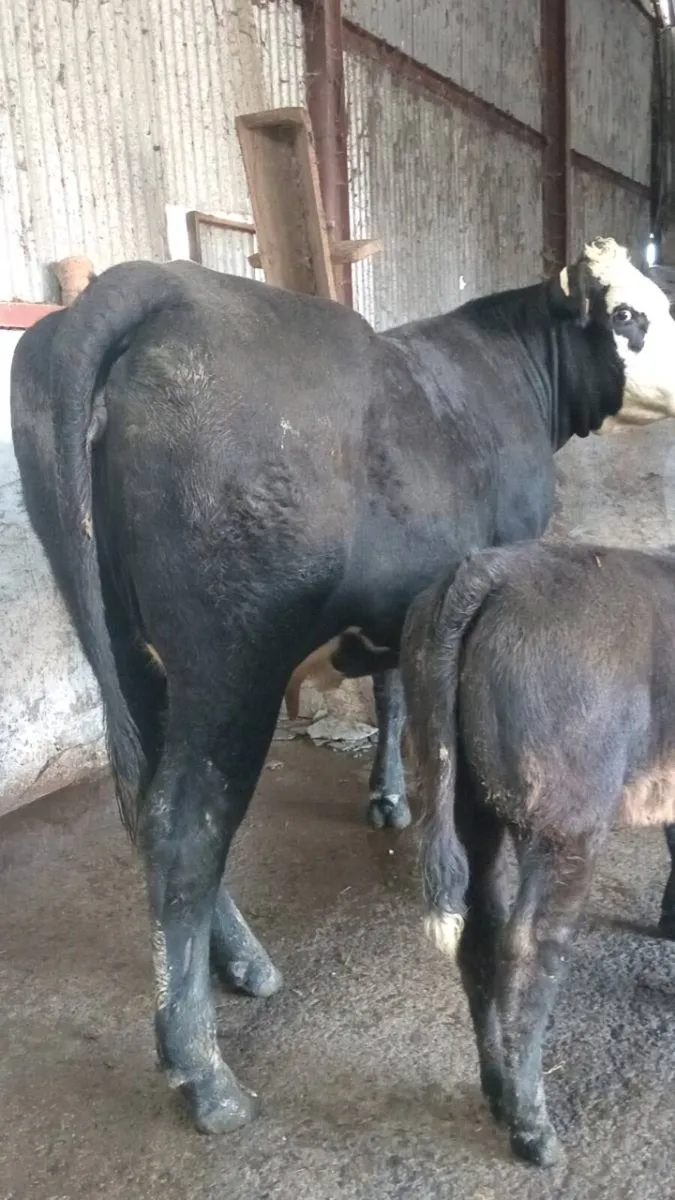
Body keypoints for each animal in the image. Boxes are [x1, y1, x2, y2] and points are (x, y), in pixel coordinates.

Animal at [402, 540, 675, 1168]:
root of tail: (491, 568)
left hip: (463, 800)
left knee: (479, 935)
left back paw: (499, 1091)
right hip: (566, 823)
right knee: (530, 947)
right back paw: (534, 1131)